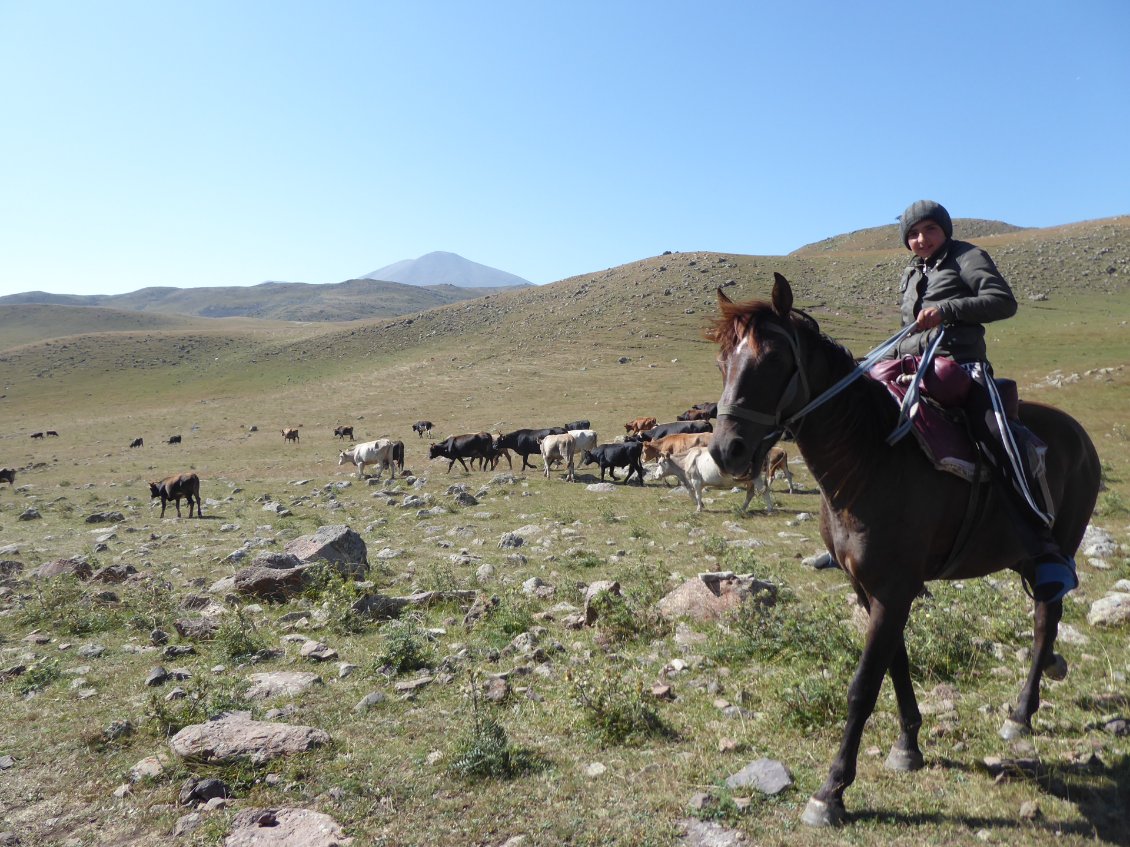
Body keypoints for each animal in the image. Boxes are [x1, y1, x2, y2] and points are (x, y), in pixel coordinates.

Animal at [709, 276, 1098, 831]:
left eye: (775, 358)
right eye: (723, 361)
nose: (727, 451)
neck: (869, 459)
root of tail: (1080, 435)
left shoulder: (894, 591)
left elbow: (863, 686)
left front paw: (831, 792)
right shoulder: (870, 588)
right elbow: (896, 668)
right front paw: (908, 746)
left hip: (1059, 547)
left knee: (1046, 619)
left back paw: (1021, 715)